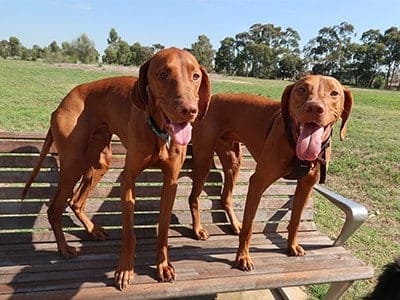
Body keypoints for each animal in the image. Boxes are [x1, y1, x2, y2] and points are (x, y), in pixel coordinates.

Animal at [21, 48, 211, 290]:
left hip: (100, 161)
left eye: (195, 76)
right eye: (163, 74)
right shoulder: (127, 178)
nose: (189, 110)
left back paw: (93, 230)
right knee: (54, 209)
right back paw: (64, 249)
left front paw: (163, 266)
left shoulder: (171, 182)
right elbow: (129, 232)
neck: (159, 132)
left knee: (76, 201)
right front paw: (125, 270)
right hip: (74, 164)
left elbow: (163, 228)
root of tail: (62, 103)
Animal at [188, 75, 354, 272]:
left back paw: (235, 224)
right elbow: (249, 226)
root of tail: (210, 99)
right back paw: (198, 229)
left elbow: (296, 220)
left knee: (225, 196)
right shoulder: (258, 182)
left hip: (233, 161)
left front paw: (292, 246)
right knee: (194, 197)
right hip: (204, 160)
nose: (314, 108)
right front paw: (243, 257)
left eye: (334, 93)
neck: (295, 141)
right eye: (302, 90)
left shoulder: (306, 186)